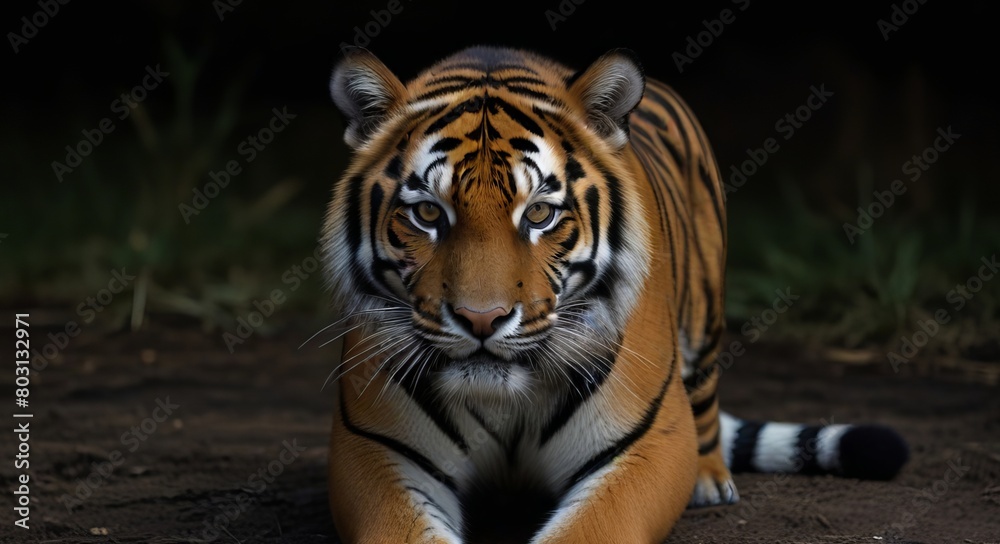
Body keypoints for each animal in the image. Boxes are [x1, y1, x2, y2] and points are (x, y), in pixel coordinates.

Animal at [319, 46, 909, 543]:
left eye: (539, 213)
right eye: (426, 212)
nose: (481, 320)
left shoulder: (646, 442)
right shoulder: (377, 449)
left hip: (706, 318)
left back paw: (710, 477)